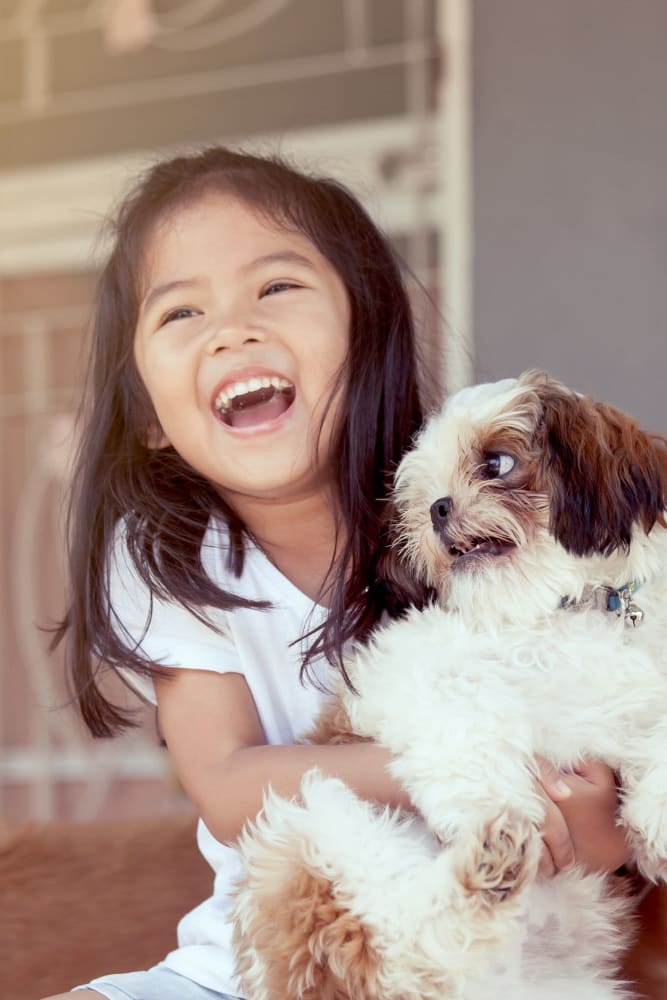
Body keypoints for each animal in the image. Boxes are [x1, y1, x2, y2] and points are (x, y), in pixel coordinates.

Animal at [231, 374, 667, 1000]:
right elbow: (467, 715)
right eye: (423, 494)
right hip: (309, 829)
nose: (437, 508)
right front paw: (490, 801)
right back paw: (490, 858)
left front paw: (655, 821)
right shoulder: (408, 669)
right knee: (401, 942)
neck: (554, 613)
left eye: (497, 463)